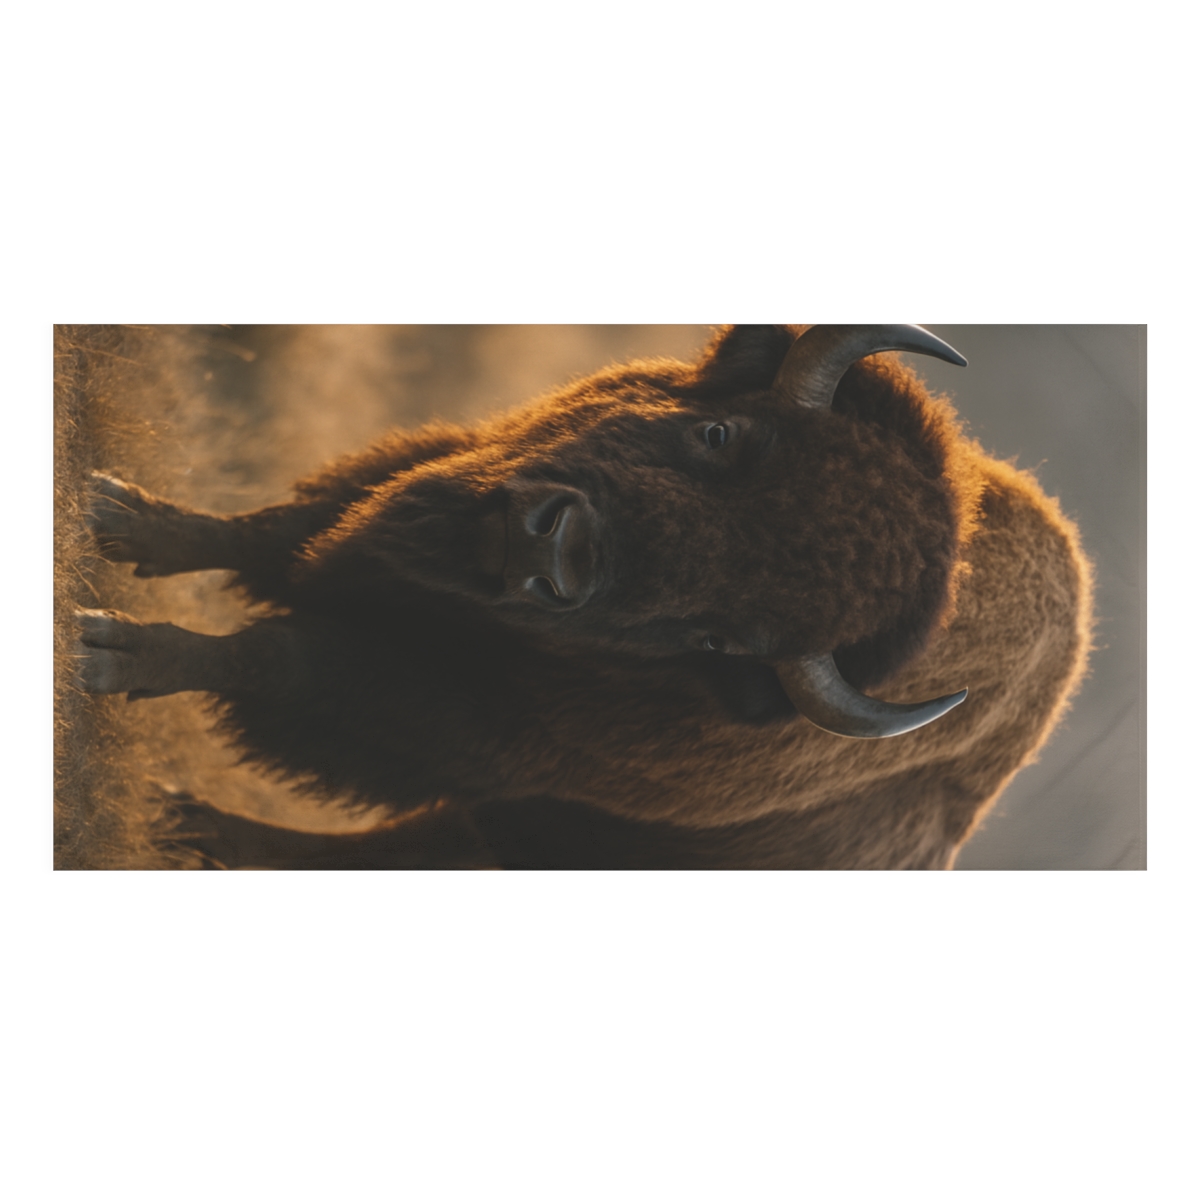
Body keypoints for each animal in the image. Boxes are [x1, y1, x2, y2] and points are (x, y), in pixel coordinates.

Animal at [77, 324, 1093, 869]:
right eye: (722, 433)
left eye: (720, 638)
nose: (549, 547)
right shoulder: (412, 491)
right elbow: (254, 535)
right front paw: (114, 515)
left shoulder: (432, 712)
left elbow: (266, 654)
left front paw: (112, 651)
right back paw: (179, 820)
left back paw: (180, 822)